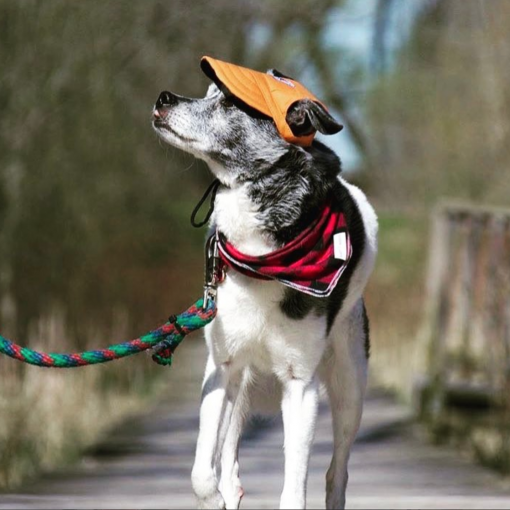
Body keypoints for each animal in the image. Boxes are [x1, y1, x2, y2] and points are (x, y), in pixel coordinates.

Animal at [151, 60, 378, 510]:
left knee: (337, 471)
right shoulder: (220, 368)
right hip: (240, 382)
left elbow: (294, 488)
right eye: (207, 93)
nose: (163, 97)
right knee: (229, 458)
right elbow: (201, 470)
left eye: (226, 102)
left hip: (349, 386)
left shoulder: (300, 387)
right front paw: (213, 500)